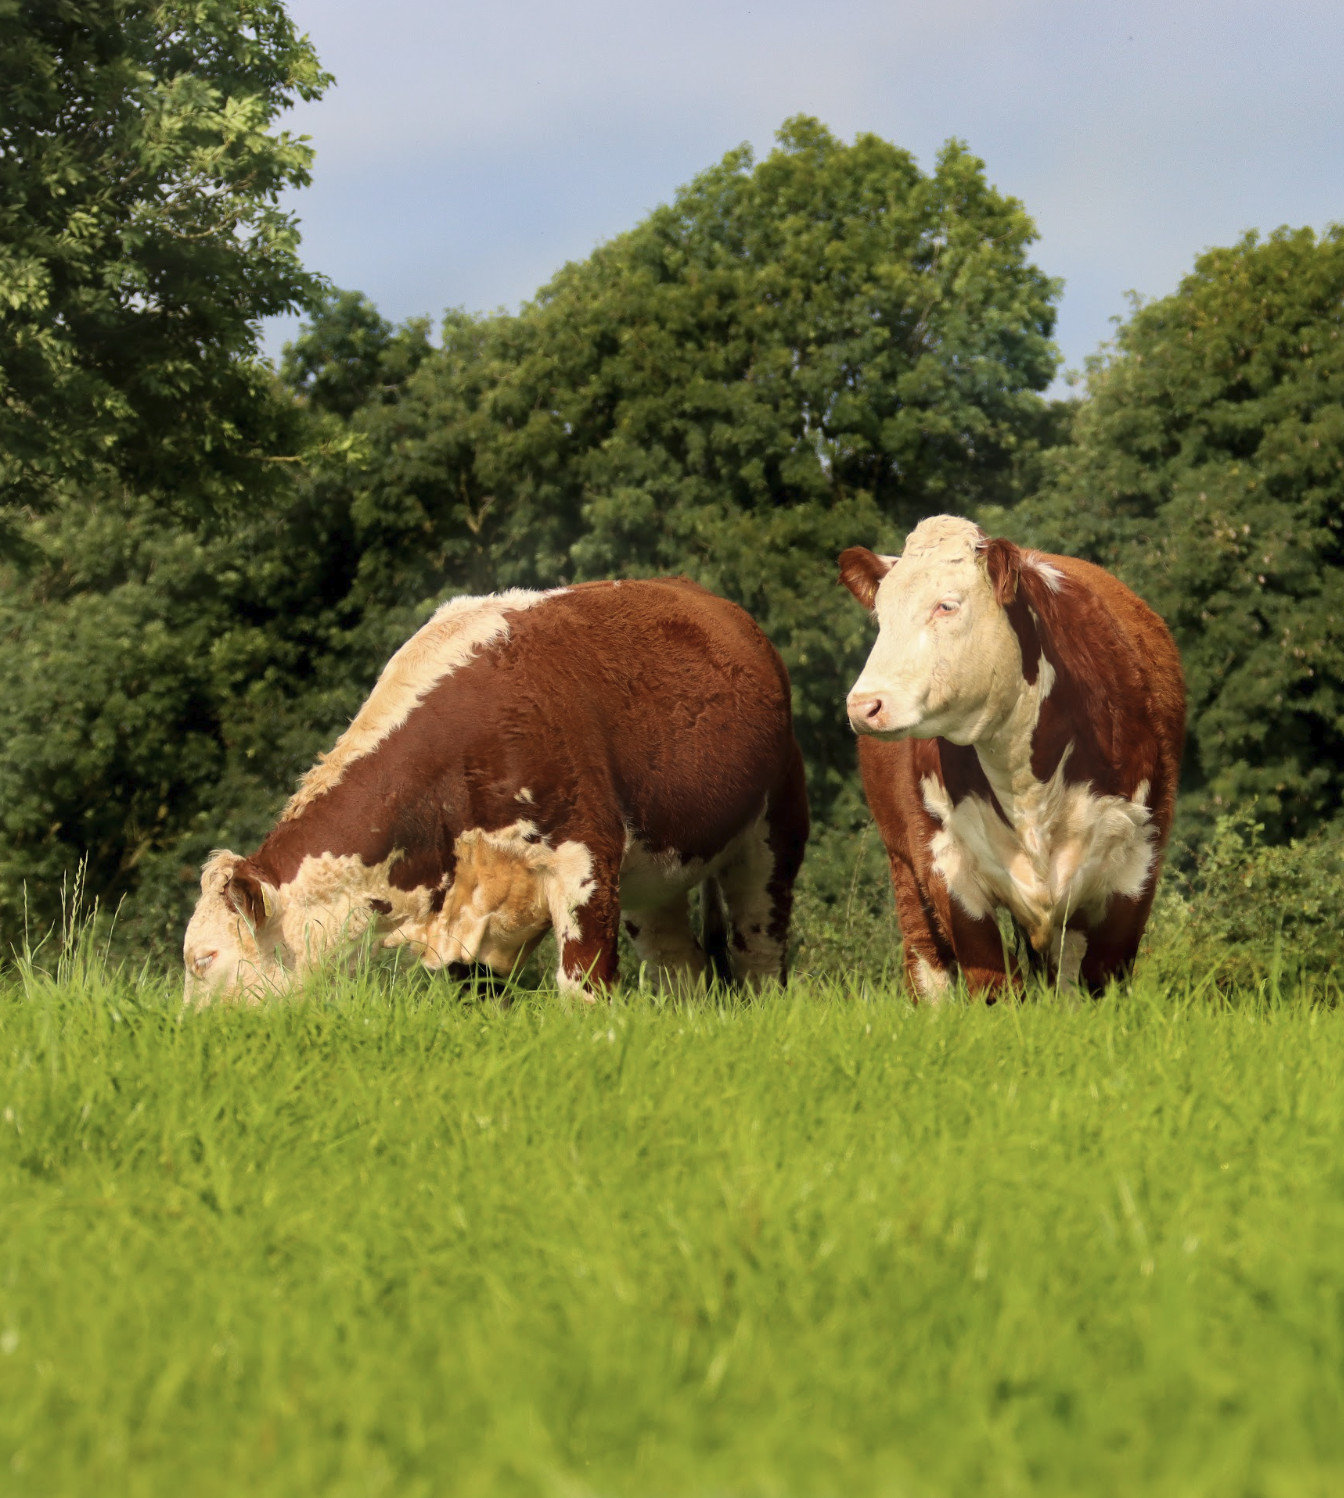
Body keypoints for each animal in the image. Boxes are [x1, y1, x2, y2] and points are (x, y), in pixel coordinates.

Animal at [183, 578, 809, 1004]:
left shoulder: (585, 860)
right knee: (680, 966)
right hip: (657, 879)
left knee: (759, 955)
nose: (192, 1035)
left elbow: (584, 988)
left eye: (203, 959)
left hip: (773, 832)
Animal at [839, 515, 1185, 999]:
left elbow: (1102, 980)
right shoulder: (946, 866)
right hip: (904, 868)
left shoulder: (1136, 865)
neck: (1025, 781)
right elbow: (993, 984)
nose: (864, 705)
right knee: (927, 962)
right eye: (881, 616)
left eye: (947, 606)